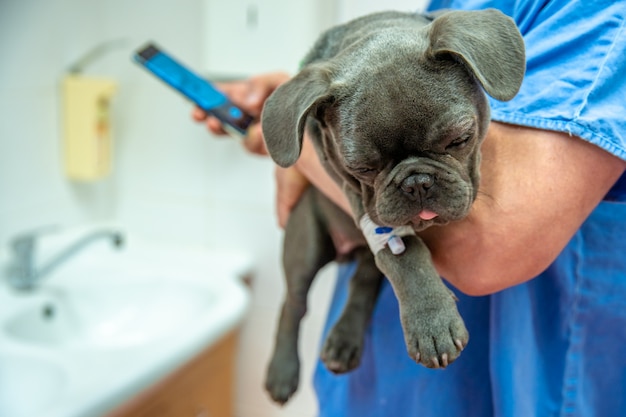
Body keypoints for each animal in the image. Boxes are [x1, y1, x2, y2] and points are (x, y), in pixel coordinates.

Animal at [260, 8, 524, 404]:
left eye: (460, 139)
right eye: (362, 168)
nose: (417, 182)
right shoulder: (364, 204)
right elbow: (405, 256)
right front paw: (432, 321)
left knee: (364, 279)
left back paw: (344, 340)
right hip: (304, 244)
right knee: (294, 303)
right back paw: (282, 370)